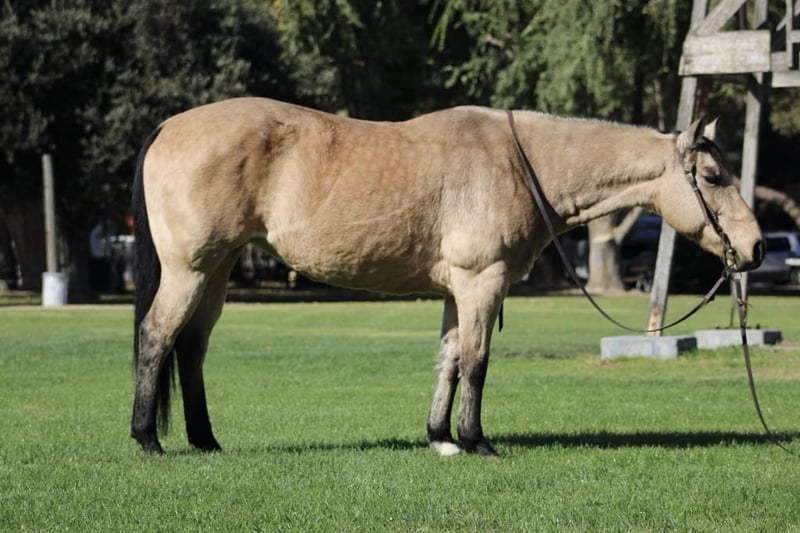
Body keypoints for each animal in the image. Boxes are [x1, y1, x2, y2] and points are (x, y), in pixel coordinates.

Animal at [131, 97, 764, 456]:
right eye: (713, 176)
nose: (754, 248)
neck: (518, 161)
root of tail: (167, 126)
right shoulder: (483, 281)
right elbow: (478, 363)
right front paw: (475, 441)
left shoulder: (459, 289)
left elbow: (451, 360)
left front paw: (439, 438)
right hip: (190, 269)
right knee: (157, 337)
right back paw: (148, 440)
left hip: (215, 272)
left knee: (191, 348)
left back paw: (205, 440)